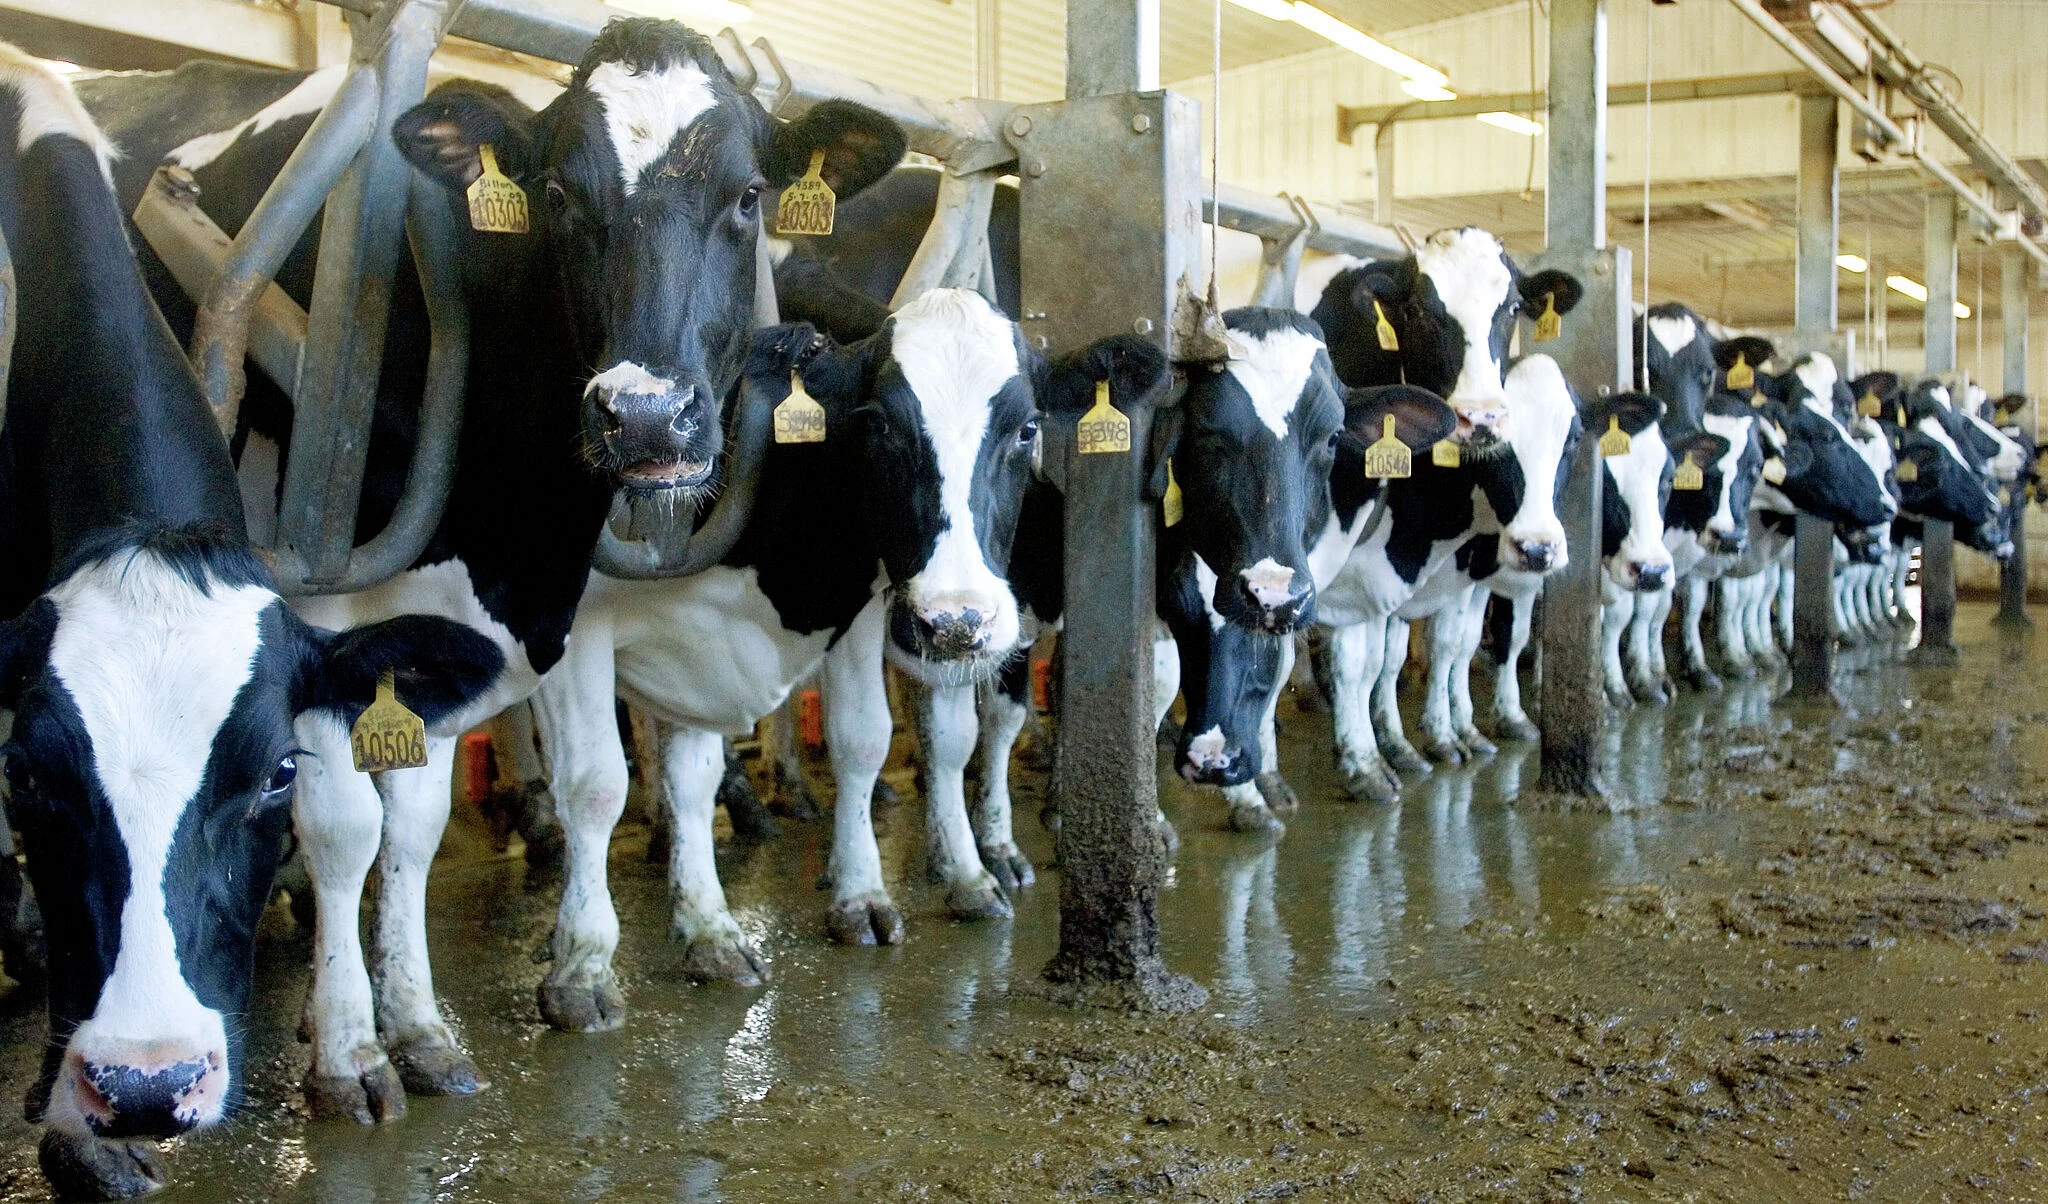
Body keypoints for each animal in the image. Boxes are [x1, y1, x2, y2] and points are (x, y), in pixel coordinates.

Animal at [85, 17, 907, 1122]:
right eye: (556, 193)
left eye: (746, 196)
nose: (646, 416)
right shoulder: (319, 602)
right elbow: (361, 825)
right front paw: (353, 1048)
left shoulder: (488, 613)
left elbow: (423, 827)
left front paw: (419, 1027)